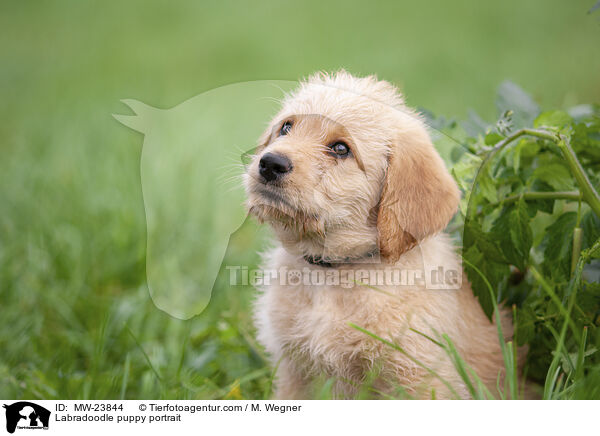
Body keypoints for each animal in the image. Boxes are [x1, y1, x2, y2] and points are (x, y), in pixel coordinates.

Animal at [244, 70, 516, 398]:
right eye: (286, 127)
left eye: (340, 149)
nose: (270, 163)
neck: (333, 272)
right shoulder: (295, 374)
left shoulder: (423, 378)